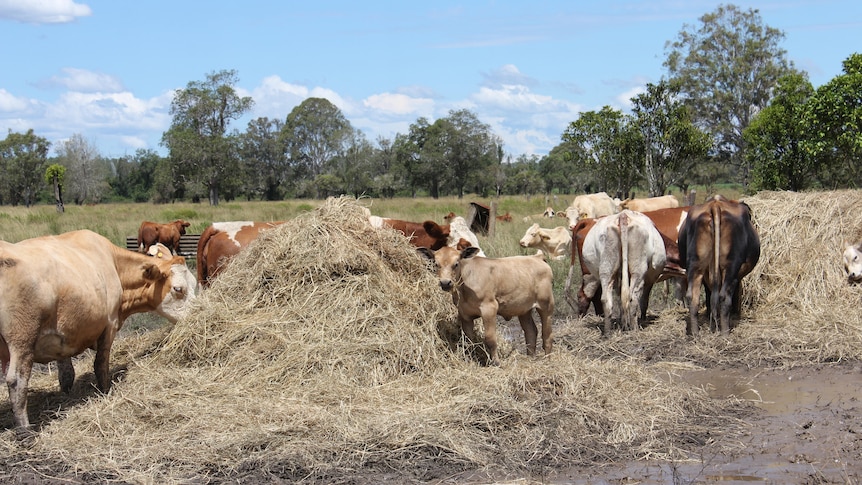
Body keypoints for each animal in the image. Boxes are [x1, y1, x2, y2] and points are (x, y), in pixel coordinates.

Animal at [422, 244, 556, 364]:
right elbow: (469, 339)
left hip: (547, 305)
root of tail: (536, 257)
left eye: (456, 263)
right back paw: (530, 358)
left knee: (547, 334)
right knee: (531, 331)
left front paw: (495, 362)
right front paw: (471, 359)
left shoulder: (489, 309)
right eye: (436, 264)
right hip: (523, 309)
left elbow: (490, 339)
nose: (445, 283)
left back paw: (547, 359)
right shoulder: (464, 313)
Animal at [680, 195, 760, 334]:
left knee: (693, 296)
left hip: (695, 266)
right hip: (731, 266)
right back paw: (725, 332)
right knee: (724, 296)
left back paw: (695, 333)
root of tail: (715, 205)